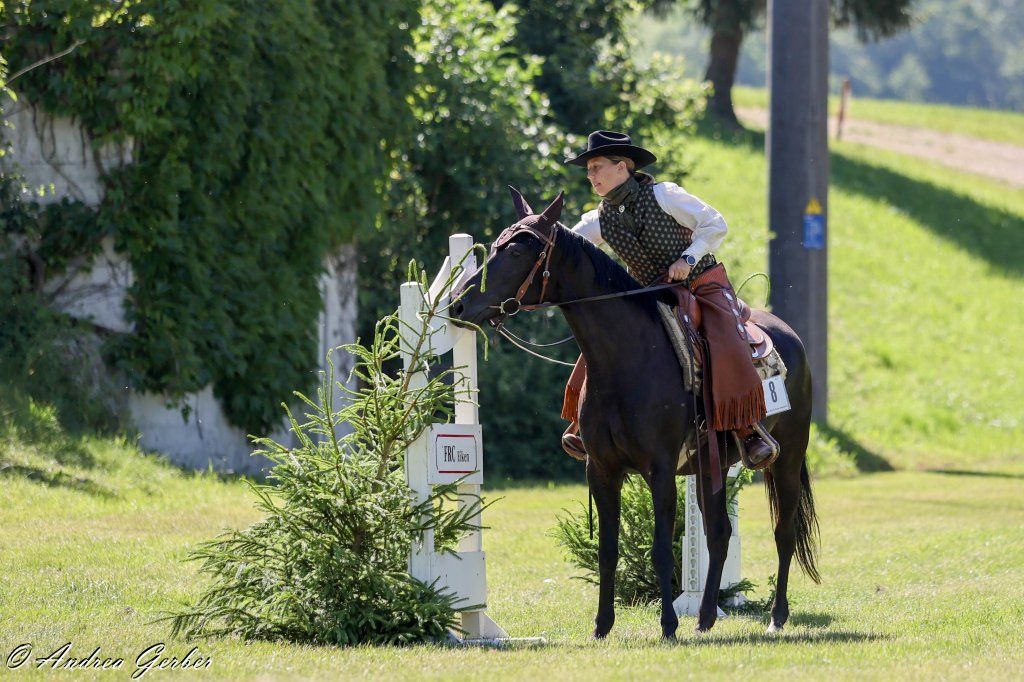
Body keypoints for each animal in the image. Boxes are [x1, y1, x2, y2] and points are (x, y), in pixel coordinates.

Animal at [450, 188, 820, 640]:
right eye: (495, 246)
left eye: (518, 249)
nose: (458, 305)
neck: (628, 359)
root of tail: (791, 336)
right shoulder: (601, 470)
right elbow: (607, 549)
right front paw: (602, 625)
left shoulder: (659, 469)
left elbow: (661, 548)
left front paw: (668, 624)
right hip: (711, 467)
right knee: (719, 534)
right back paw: (706, 617)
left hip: (788, 456)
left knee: (784, 532)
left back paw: (775, 617)